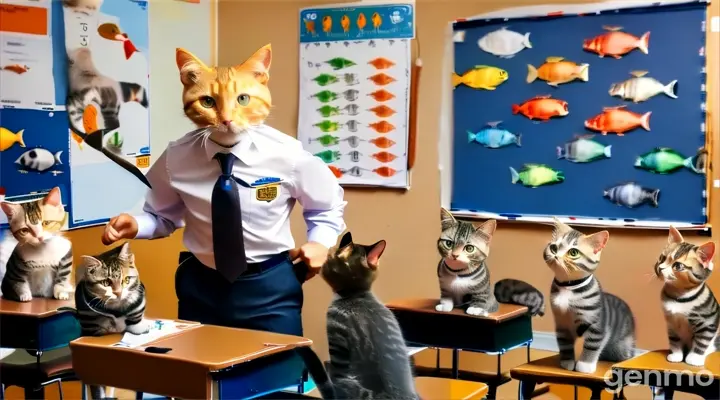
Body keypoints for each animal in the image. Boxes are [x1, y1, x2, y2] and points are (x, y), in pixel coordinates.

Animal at [544, 217, 640, 374]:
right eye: (554, 248)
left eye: (573, 252)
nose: (556, 256)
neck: (568, 288)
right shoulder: (562, 324)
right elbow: (564, 344)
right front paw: (567, 362)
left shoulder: (597, 325)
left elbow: (592, 344)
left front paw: (585, 365)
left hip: (621, 347)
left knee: (624, 353)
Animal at [656, 227, 716, 368]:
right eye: (662, 258)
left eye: (678, 266)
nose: (660, 268)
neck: (678, 298)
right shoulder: (671, 323)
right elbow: (674, 340)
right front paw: (676, 355)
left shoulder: (708, 323)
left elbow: (702, 341)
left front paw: (695, 358)